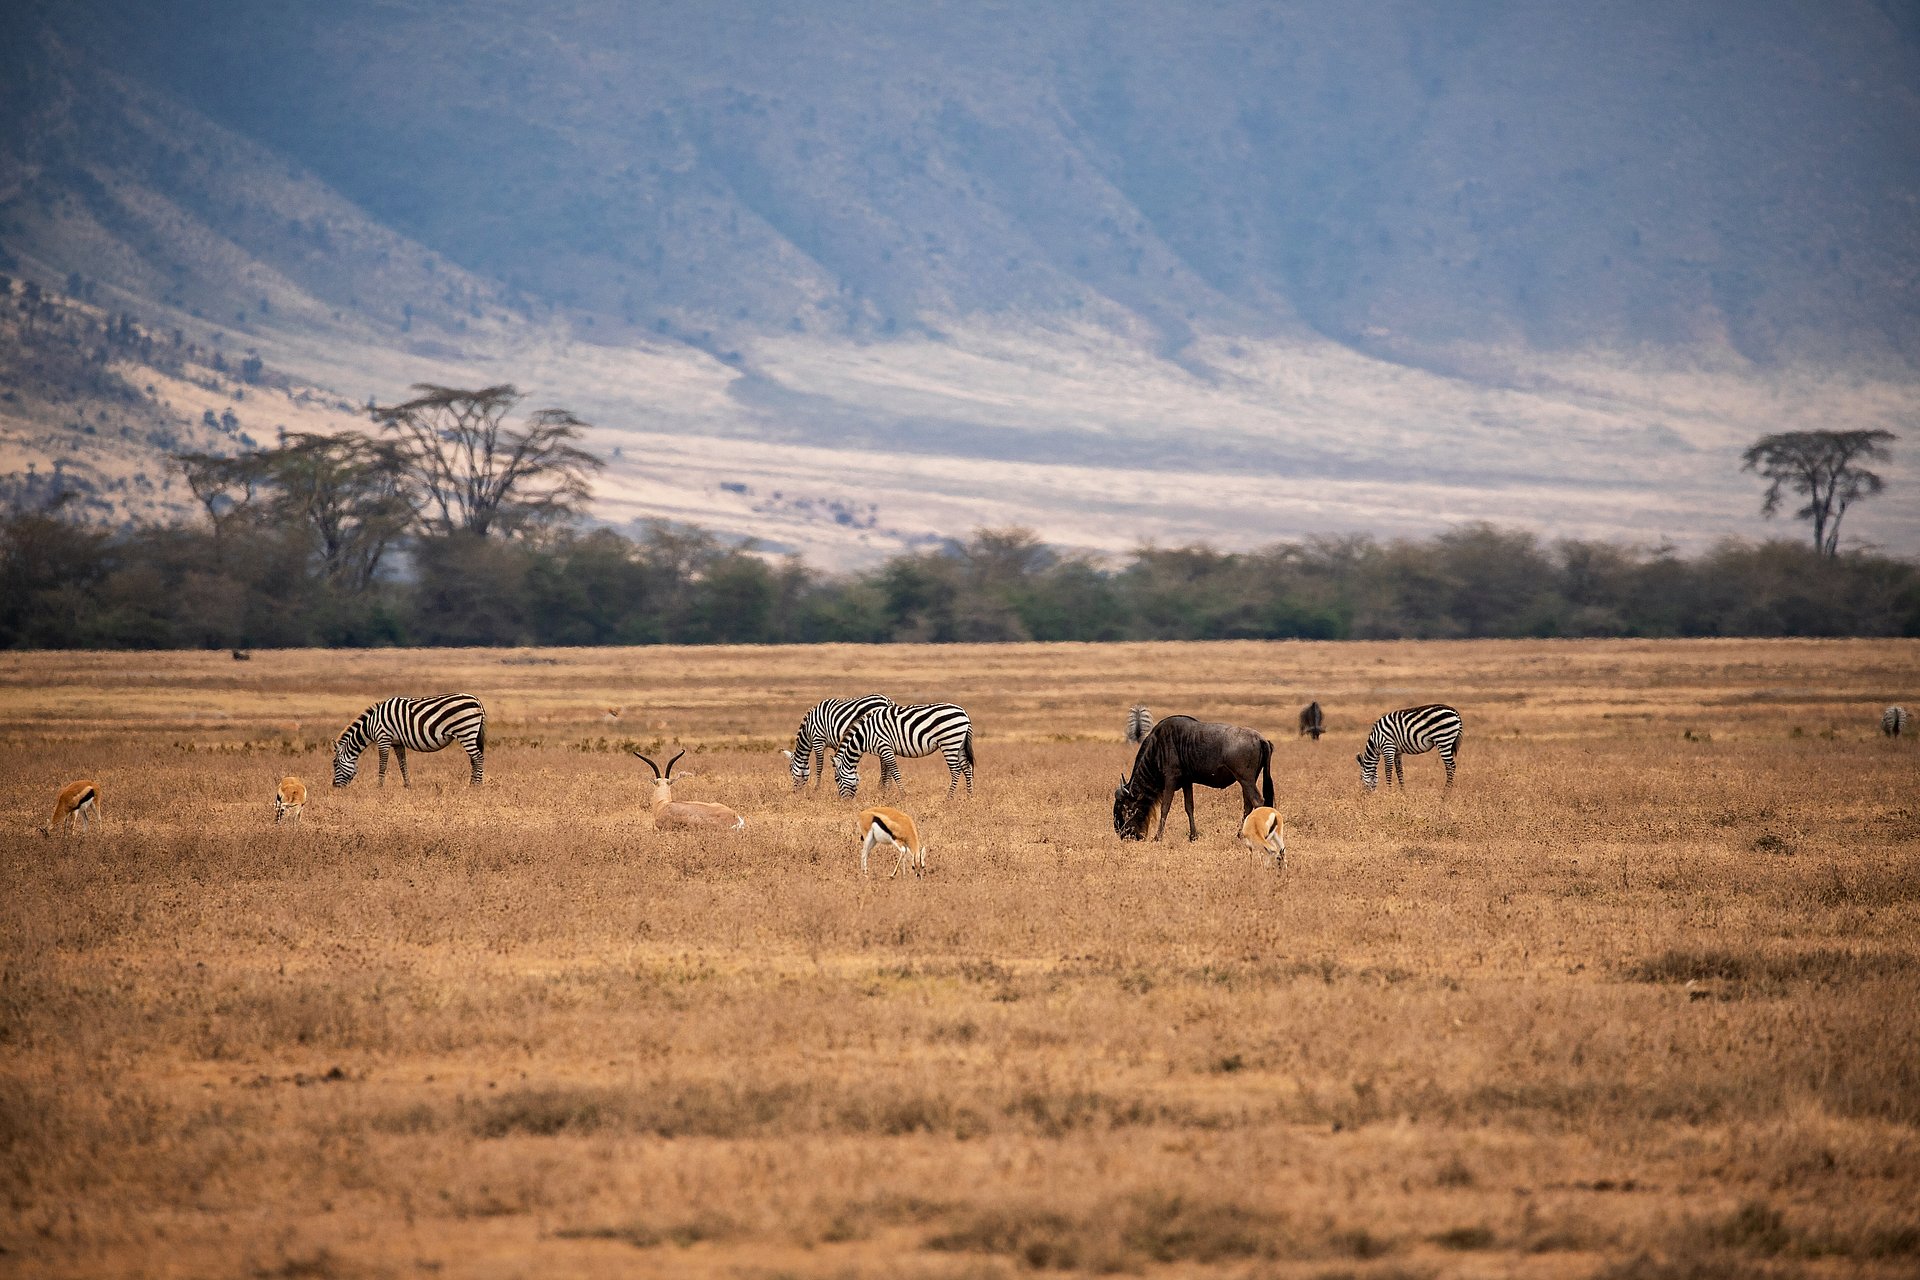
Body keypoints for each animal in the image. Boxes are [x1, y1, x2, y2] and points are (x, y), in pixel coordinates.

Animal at [333, 694, 487, 788]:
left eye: (335, 765)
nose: (334, 786)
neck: (371, 724)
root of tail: (477, 701)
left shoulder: (383, 737)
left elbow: (382, 764)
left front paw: (379, 787)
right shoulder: (397, 743)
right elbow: (402, 764)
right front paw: (408, 786)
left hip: (465, 731)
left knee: (478, 758)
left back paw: (477, 786)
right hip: (470, 734)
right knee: (474, 759)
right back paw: (472, 784)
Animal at [833, 702, 975, 799]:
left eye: (837, 780)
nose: (844, 801)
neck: (865, 736)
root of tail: (964, 713)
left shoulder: (884, 746)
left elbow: (894, 772)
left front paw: (903, 795)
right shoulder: (884, 750)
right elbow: (886, 773)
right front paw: (885, 793)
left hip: (949, 742)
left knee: (956, 770)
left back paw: (949, 798)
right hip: (959, 744)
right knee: (967, 768)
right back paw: (969, 797)